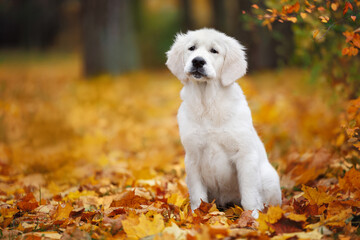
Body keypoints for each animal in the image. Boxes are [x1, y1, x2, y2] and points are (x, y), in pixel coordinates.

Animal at [166, 28, 282, 218]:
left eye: (214, 51)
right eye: (192, 48)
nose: (198, 61)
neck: (208, 104)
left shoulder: (245, 155)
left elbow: (249, 194)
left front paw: (252, 218)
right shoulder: (193, 157)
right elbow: (198, 195)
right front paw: (197, 216)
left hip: (269, 177)